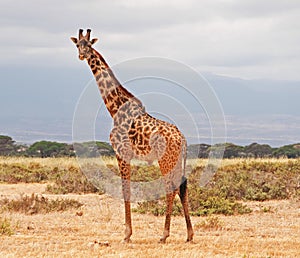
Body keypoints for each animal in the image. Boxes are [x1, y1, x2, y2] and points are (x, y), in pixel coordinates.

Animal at [70, 29, 193, 243]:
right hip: (177, 160)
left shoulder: (121, 152)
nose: (82, 55)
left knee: (170, 188)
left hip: (165, 160)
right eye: (78, 44)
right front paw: (128, 233)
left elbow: (125, 189)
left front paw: (127, 234)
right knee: (182, 187)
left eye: (89, 45)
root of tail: (182, 138)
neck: (115, 109)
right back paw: (189, 234)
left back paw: (164, 235)